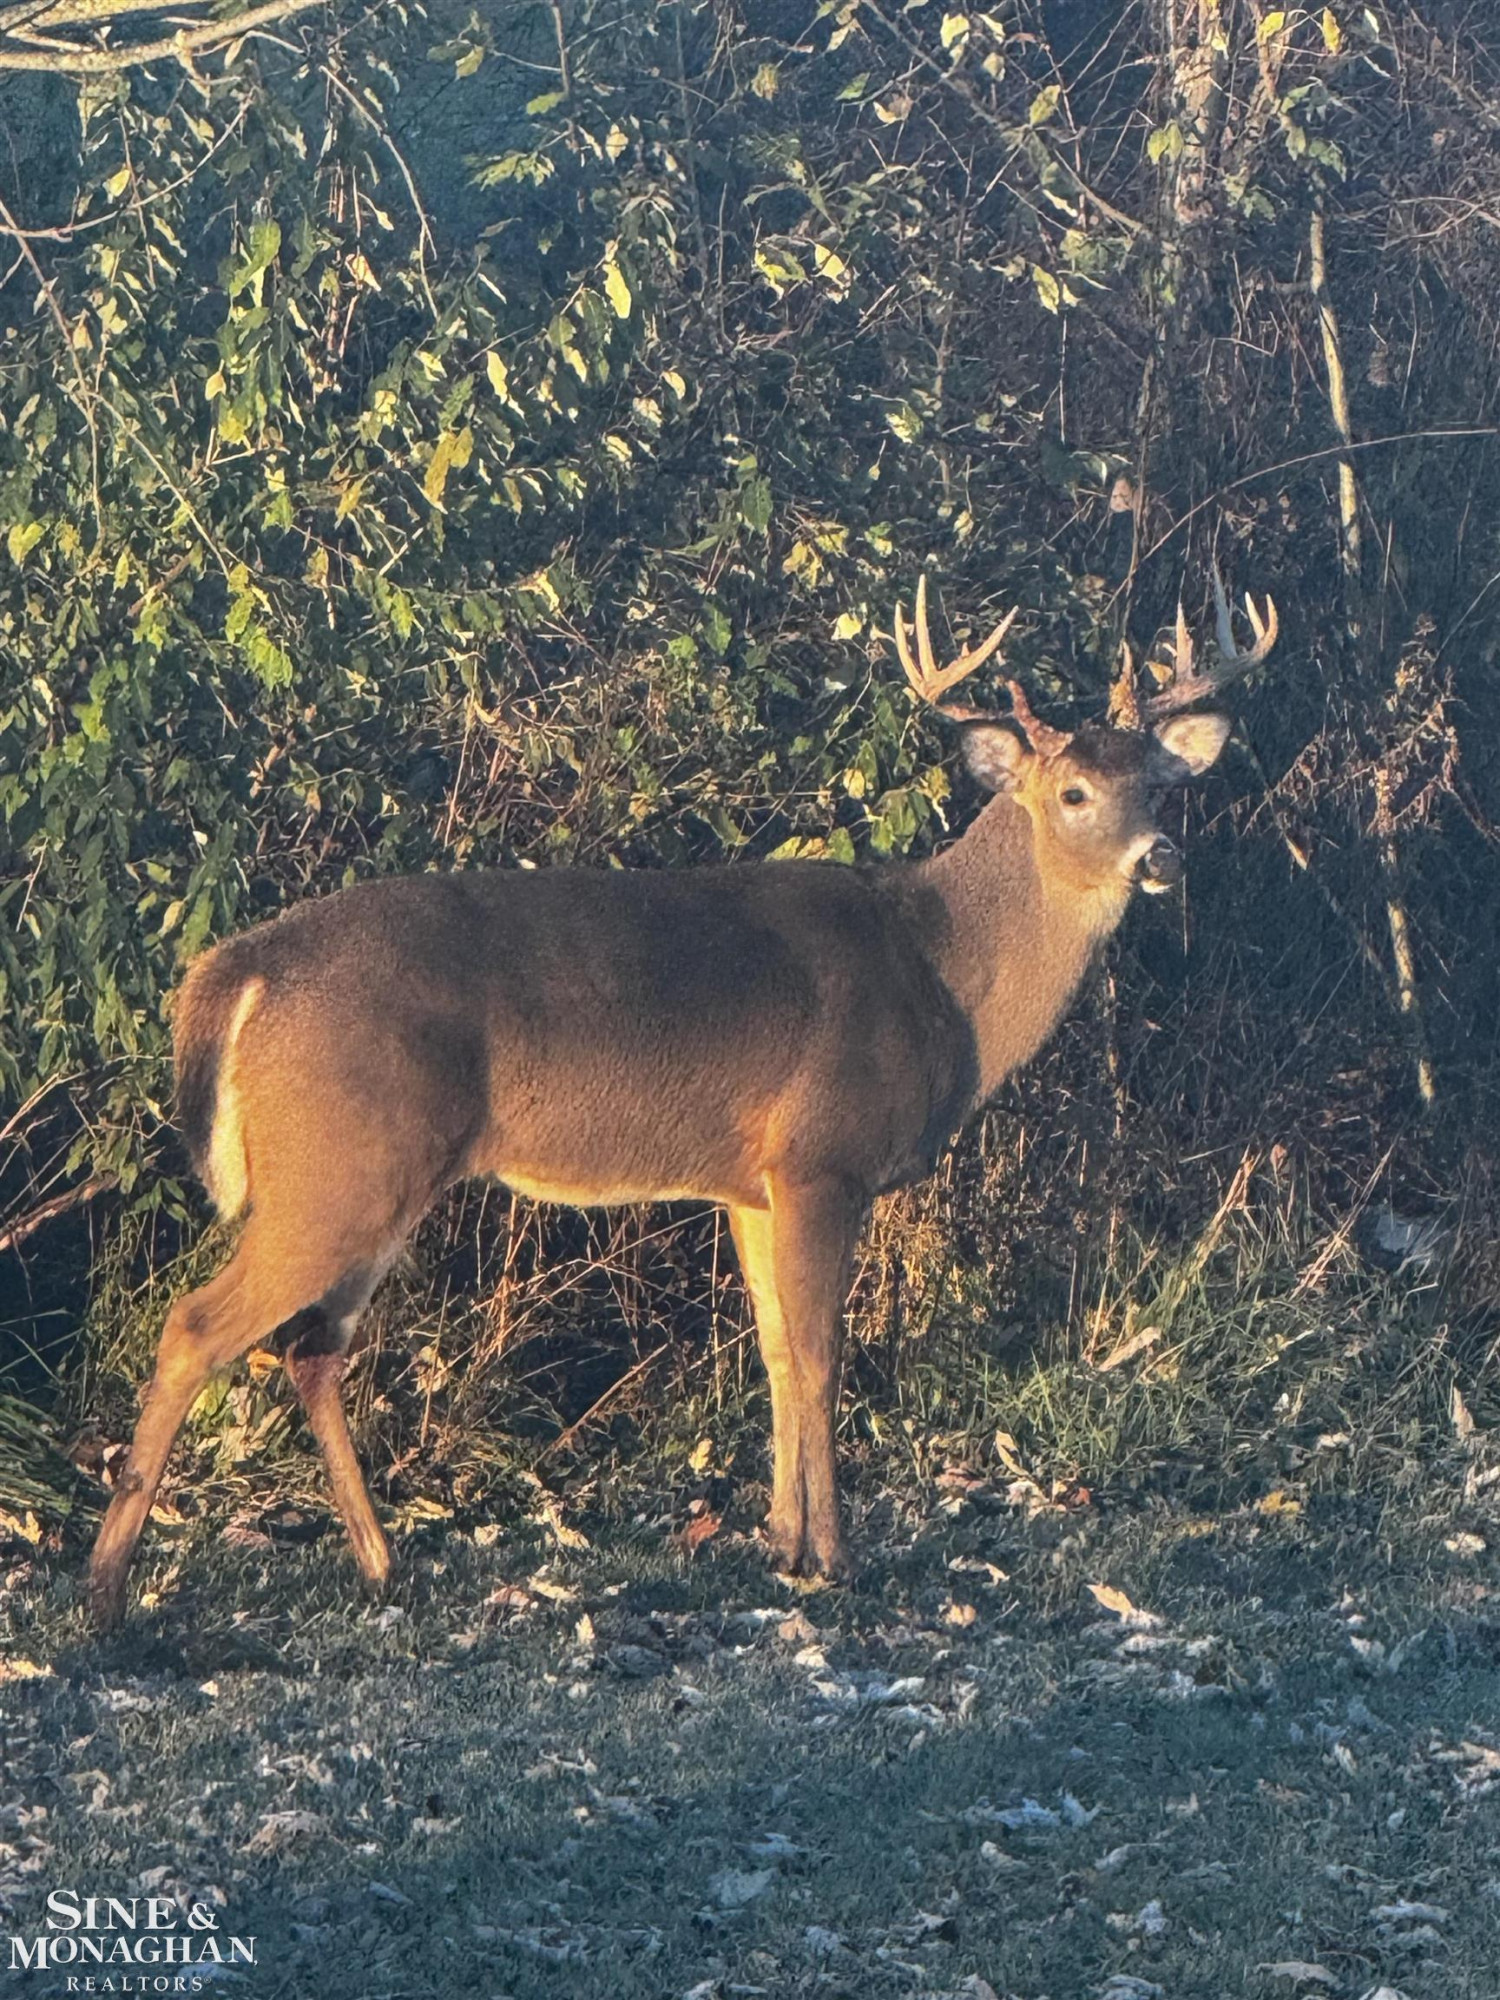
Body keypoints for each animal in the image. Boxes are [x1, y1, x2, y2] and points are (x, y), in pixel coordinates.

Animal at [88, 571, 1276, 1628]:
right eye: (1073, 793)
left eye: (1159, 783)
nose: (1161, 855)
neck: (943, 972)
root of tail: (234, 971)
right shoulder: (823, 1154)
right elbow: (821, 1354)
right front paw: (836, 1556)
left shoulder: (750, 1182)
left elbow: (774, 1351)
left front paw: (783, 1541)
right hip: (341, 1161)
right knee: (195, 1326)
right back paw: (106, 1592)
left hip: (367, 1172)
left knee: (309, 1348)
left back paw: (380, 1565)